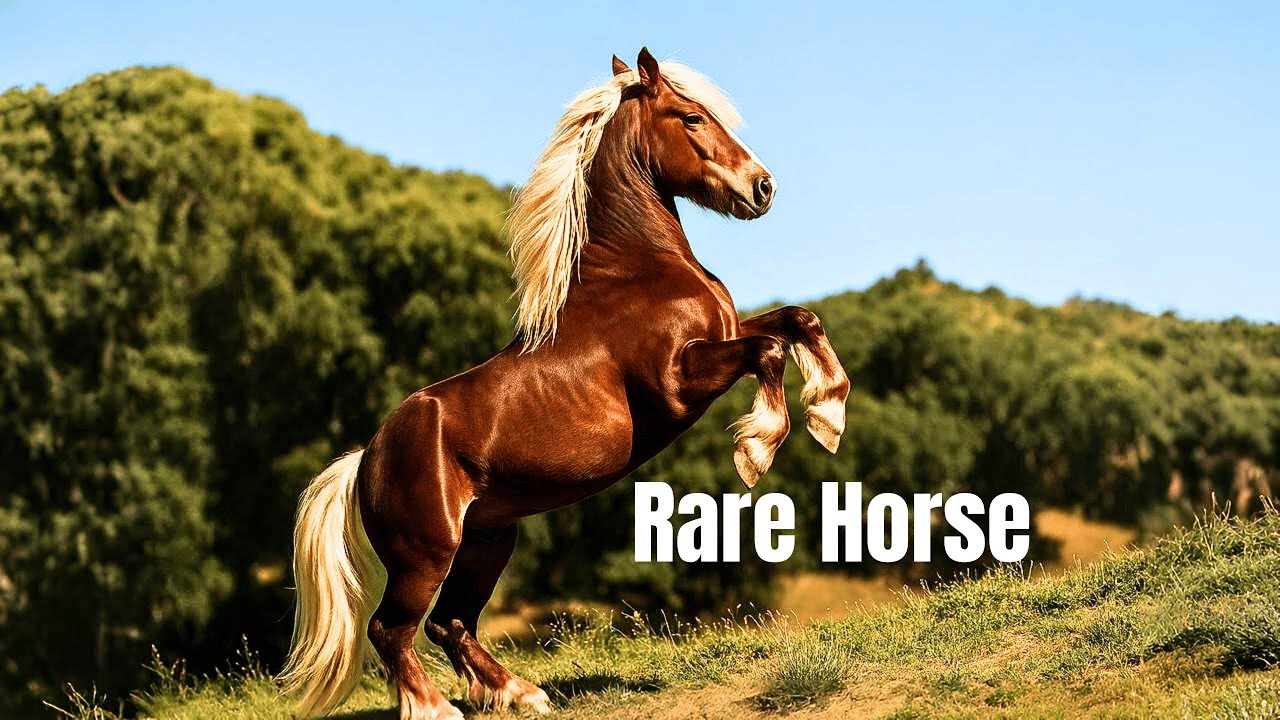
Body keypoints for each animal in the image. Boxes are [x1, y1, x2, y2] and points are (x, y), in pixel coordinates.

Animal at [278, 48, 850, 720]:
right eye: (691, 117)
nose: (762, 187)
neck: (636, 268)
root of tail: (365, 456)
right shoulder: (680, 381)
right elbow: (768, 350)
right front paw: (756, 449)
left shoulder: (724, 333)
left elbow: (797, 321)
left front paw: (829, 417)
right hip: (427, 555)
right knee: (392, 629)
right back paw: (438, 707)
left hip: (488, 540)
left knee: (451, 623)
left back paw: (521, 692)